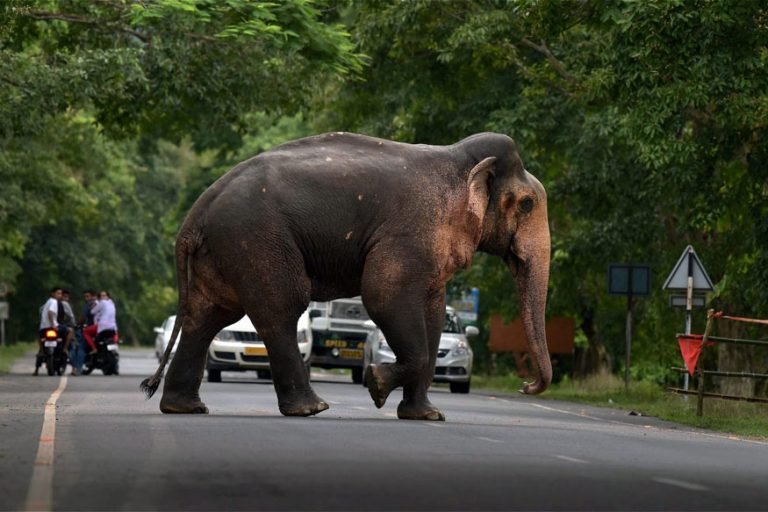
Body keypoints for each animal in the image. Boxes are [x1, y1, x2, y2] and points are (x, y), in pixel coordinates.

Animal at [141, 131, 551, 421]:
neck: (457, 160)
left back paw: (185, 408)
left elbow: (434, 316)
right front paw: (376, 384)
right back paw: (311, 408)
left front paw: (427, 416)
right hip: (255, 239)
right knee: (280, 309)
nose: (525, 385)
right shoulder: (408, 233)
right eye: (527, 204)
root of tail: (198, 210)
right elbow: (383, 296)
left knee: (208, 315)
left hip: (224, 249)